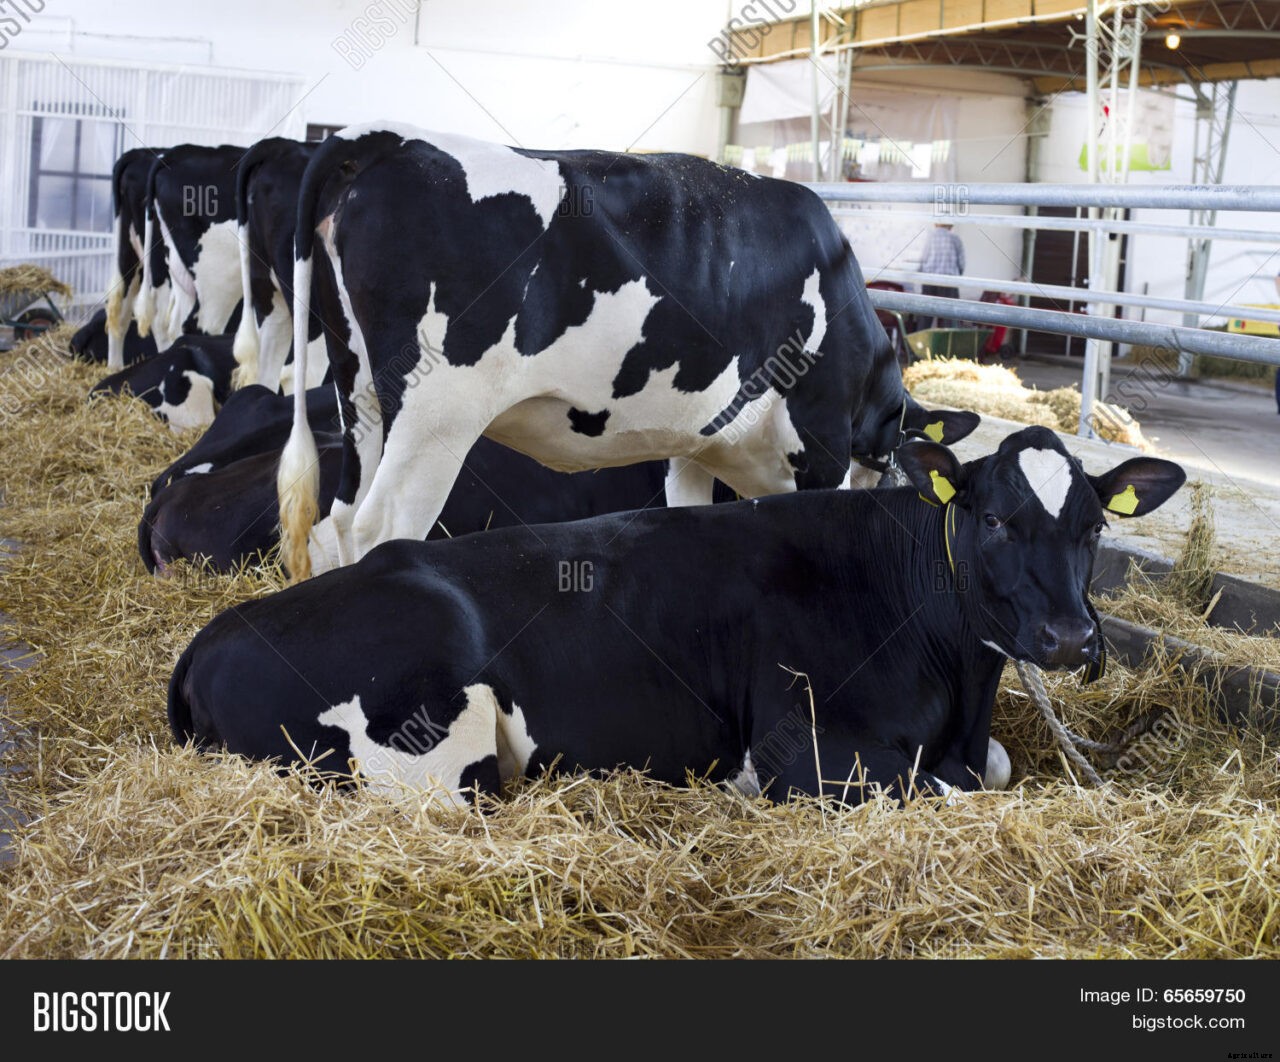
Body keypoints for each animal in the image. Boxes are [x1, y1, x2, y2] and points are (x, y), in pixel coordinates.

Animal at [168, 425, 1186, 807]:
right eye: (993, 517)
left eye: (1094, 525)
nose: (1069, 638)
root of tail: (210, 638)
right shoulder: (812, 751)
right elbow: (943, 787)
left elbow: (995, 770)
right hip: (432, 754)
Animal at [277, 123, 979, 580]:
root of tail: (387, 139)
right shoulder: (823, 438)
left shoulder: (696, 445)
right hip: (436, 416)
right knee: (381, 528)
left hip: (360, 389)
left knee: (339, 519)